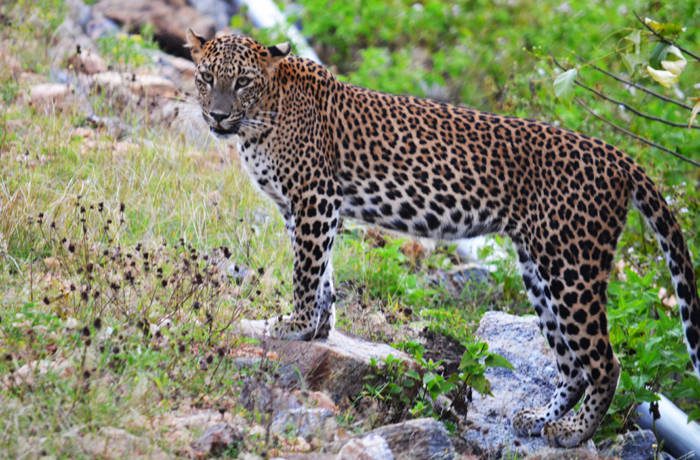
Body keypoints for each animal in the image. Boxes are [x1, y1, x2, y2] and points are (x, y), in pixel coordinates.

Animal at [186, 30, 700, 448]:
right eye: (206, 77)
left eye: (243, 82)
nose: (218, 116)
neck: (264, 114)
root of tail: (618, 156)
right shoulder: (305, 209)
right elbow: (323, 273)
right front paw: (317, 327)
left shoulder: (315, 199)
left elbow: (306, 271)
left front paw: (293, 324)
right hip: (539, 267)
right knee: (571, 364)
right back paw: (539, 419)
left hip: (571, 265)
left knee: (605, 362)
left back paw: (574, 432)